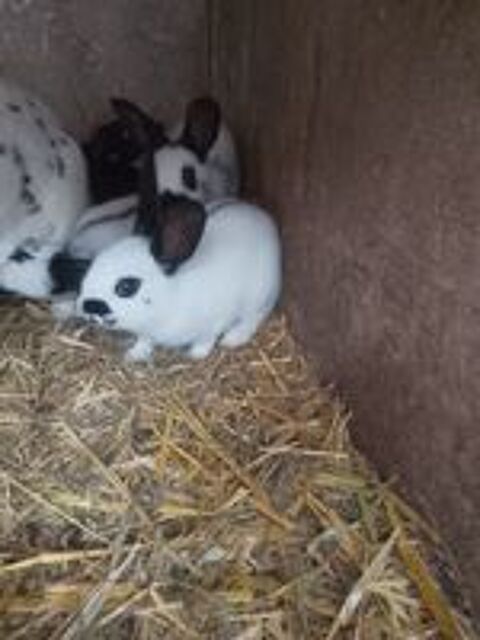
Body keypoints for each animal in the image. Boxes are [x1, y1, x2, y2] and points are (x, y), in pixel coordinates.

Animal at [76, 193, 281, 362]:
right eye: (87, 274)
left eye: (127, 286)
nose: (90, 306)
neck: (170, 297)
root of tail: (263, 216)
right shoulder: (147, 332)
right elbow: (144, 340)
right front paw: (135, 354)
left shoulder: (214, 322)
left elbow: (206, 340)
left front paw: (195, 355)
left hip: (260, 296)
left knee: (253, 318)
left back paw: (233, 339)